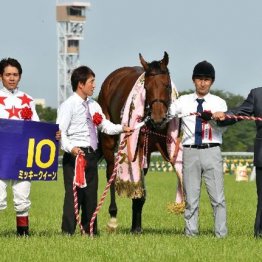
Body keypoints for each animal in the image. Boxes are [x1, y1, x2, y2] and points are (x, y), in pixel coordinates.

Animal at [97, 51, 173, 233]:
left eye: (167, 85)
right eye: (147, 88)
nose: (158, 118)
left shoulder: (148, 151)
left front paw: (136, 225)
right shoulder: (137, 147)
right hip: (108, 139)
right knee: (110, 173)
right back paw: (113, 216)